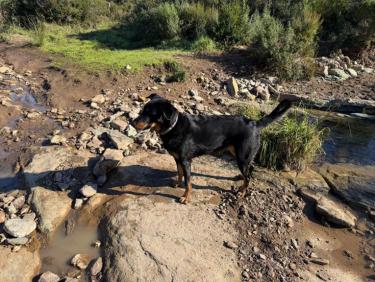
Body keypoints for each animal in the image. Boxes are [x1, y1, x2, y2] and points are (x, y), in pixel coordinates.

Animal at [132, 94, 294, 203]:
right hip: (239, 154)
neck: (173, 127)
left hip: (242, 156)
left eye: (149, 113)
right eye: (142, 110)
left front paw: (185, 197)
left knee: (249, 175)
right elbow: (179, 173)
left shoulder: (186, 161)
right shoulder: (177, 159)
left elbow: (188, 182)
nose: (132, 122)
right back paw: (240, 177)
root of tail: (255, 123)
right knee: (250, 169)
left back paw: (242, 192)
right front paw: (177, 184)